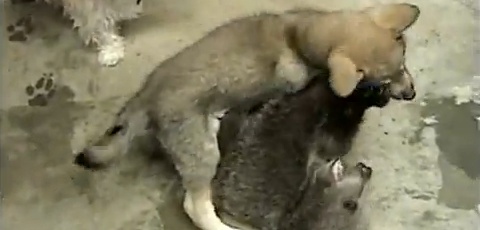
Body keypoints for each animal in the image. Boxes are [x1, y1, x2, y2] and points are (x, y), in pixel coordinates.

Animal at [74, 3, 420, 230]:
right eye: (382, 81)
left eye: (404, 65)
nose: (411, 94)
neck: (296, 34)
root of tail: (147, 94)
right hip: (201, 149)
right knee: (195, 206)